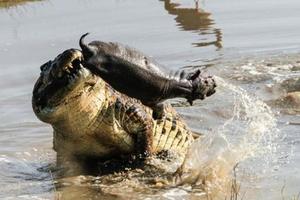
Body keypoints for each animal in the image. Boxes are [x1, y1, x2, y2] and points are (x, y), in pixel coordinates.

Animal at [79, 32, 216, 119]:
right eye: (206, 81)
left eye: (208, 78)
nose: (214, 83)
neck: (183, 81)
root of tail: (92, 49)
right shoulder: (154, 100)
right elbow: (160, 107)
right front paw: (160, 117)